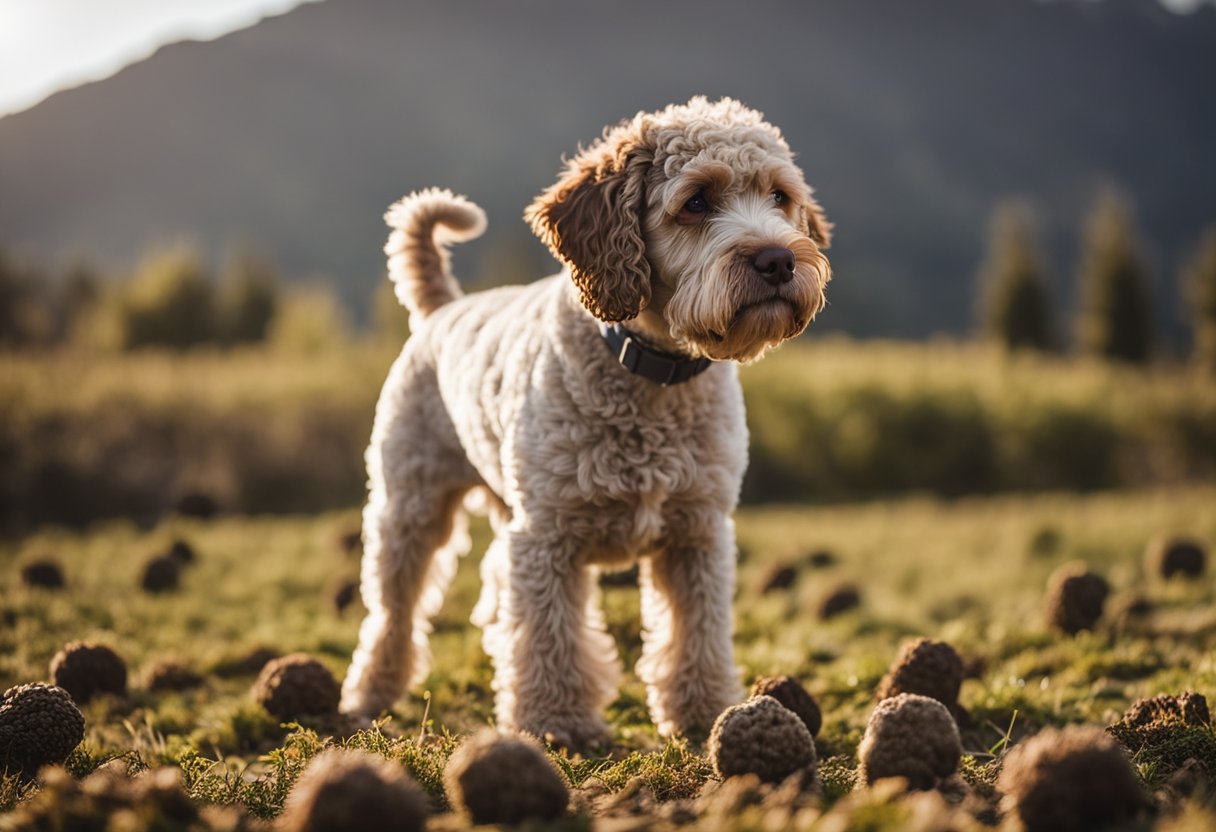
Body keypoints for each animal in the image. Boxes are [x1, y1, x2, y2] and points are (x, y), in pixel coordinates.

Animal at [342, 96, 836, 749]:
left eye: (780, 196)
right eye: (696, 200)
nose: (778, 259)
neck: (653, 375)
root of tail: (444, 308)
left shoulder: (698, 534)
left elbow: (697, 635)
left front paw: (703, 711)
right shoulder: (548, 536)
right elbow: (549, 637)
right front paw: (556, 721)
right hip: (410, 508)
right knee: (393, 613)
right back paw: (370, 692)